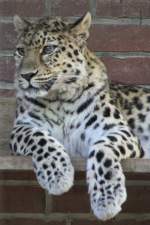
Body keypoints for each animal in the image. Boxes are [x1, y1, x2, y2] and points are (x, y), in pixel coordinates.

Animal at [9, 11, 149, 220]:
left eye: (48, 49)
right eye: (20, 51)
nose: (25, 75)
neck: (60, 99)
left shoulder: (118, 129)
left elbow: (102, 149)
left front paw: (106, 199)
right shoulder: (22, 127)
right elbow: (39, 139)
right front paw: (58, 176)